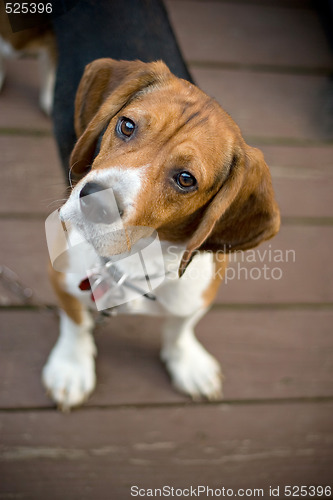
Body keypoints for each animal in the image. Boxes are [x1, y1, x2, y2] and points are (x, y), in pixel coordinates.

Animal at [42, 59, 280, 410]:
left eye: (185, 179)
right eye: (127, 126)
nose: (96, 200)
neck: (133, 262)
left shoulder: (198, 293)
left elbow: (181, 328)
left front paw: (188, 363)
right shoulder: (63, 279)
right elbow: (76, 322)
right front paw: (71, 367)